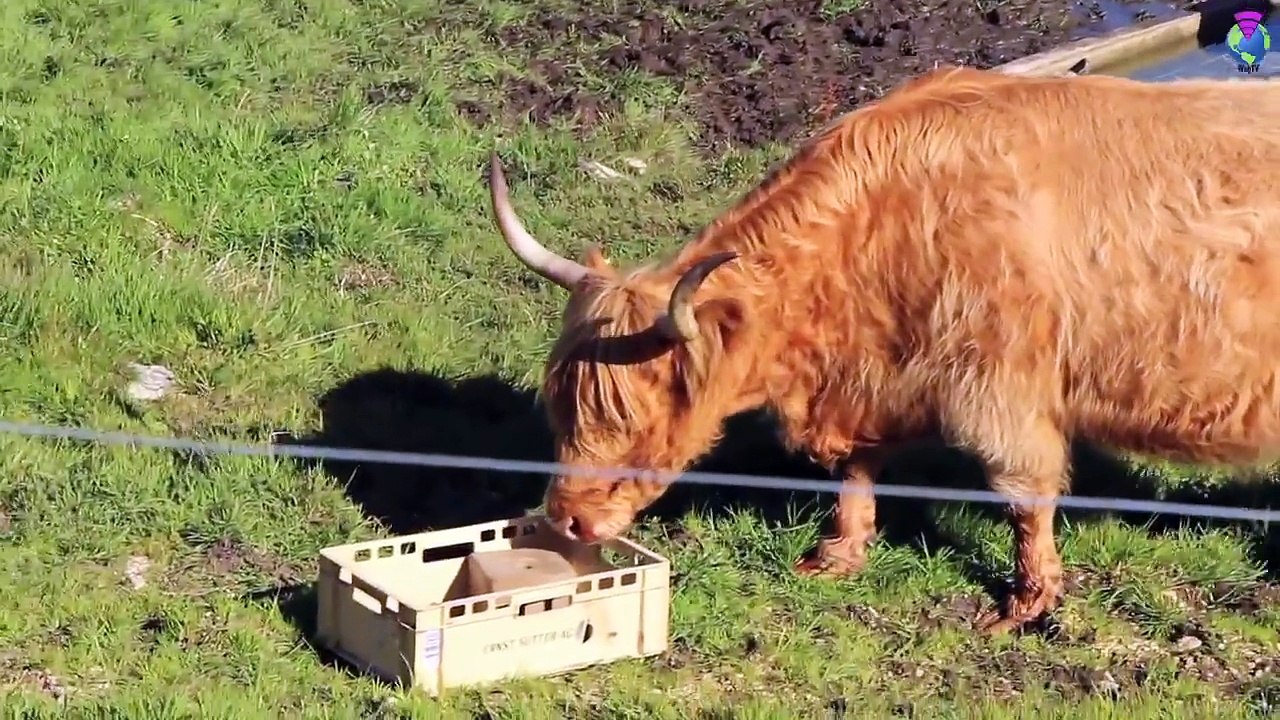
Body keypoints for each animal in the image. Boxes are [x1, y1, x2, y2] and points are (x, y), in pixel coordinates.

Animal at [484, 65, 1280, 634]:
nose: (567, 519)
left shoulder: (1002, 390)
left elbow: (1023, 494)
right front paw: (839, 554)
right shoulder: (867, 383)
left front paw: (1025, 603)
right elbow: (856, 472)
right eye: (561, 406)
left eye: (638, 414)